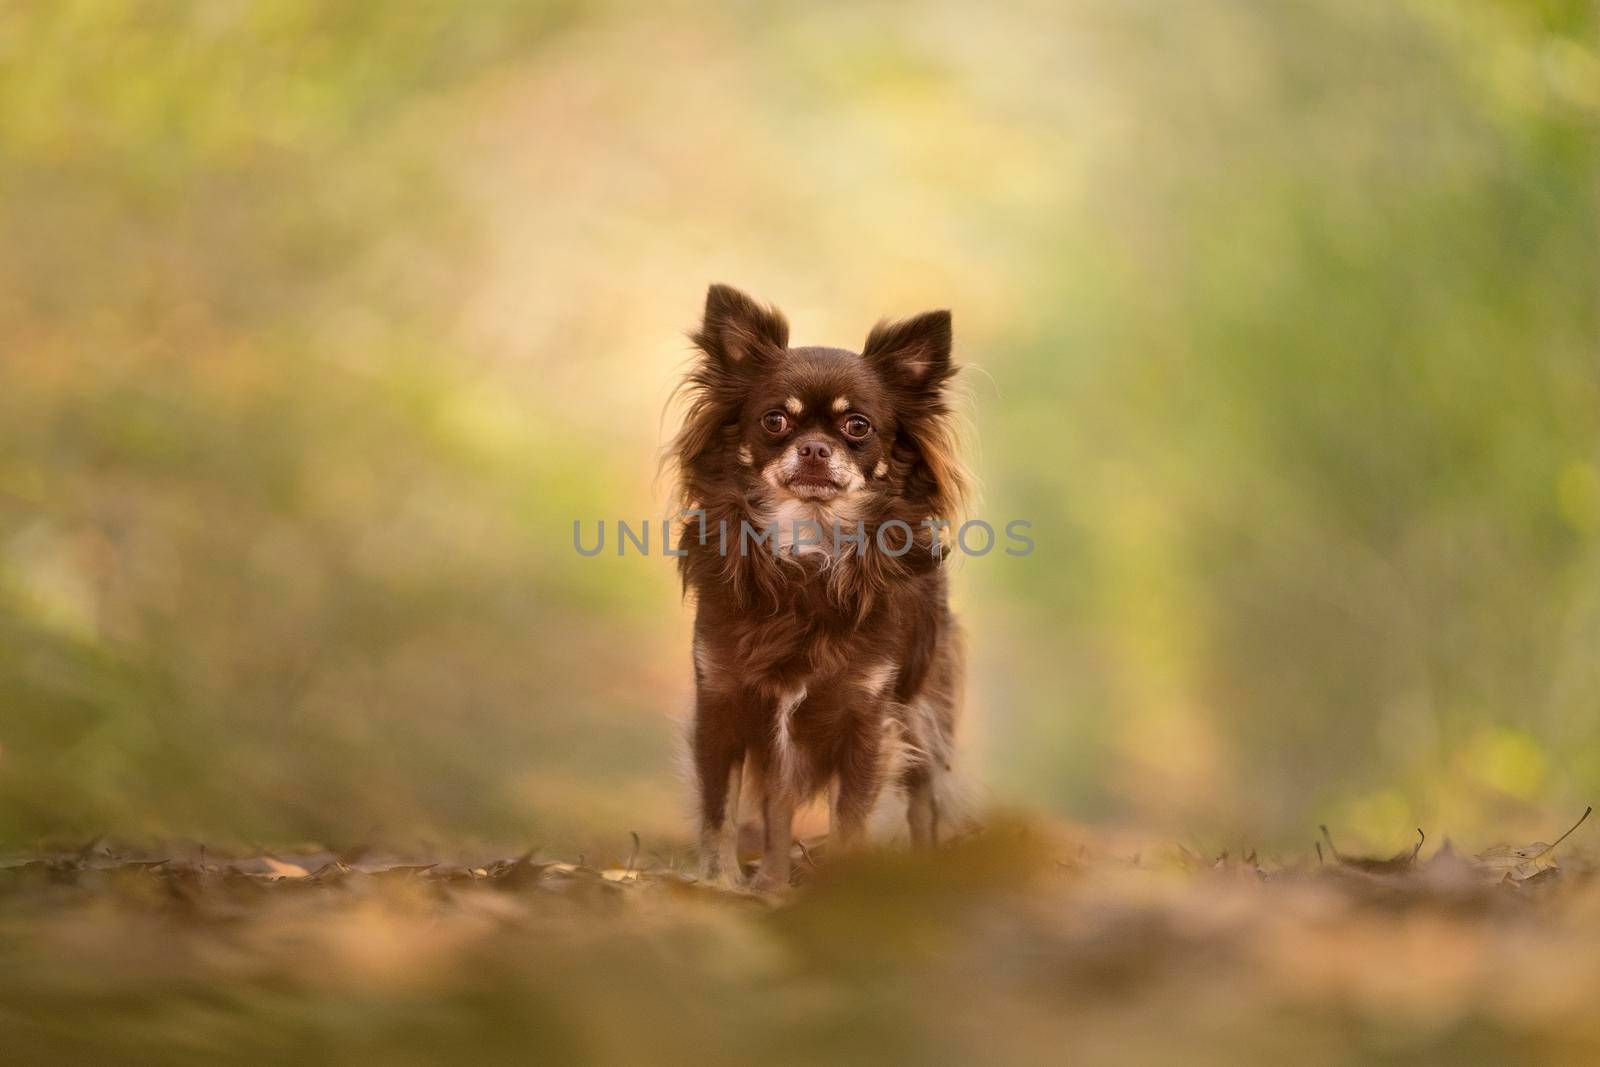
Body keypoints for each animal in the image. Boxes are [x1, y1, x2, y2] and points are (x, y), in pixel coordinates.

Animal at [668, 283, 966, 895]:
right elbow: (719, 812)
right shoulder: (722, 705)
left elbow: (849, 819)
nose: (813, 448)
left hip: (925, 713)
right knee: (777, 811)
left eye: (857, 426)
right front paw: (719, 884)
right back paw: (770, 884)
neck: (807, 549)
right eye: (775, 420)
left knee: (923, 801)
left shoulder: (867, 722)